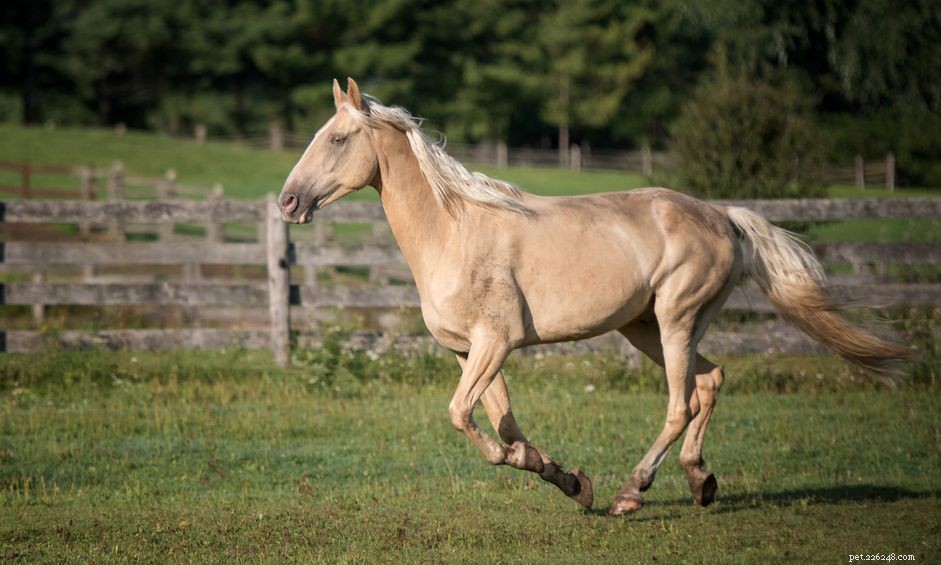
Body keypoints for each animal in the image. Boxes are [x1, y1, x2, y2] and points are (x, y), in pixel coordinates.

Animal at [278, 78, 913, 515]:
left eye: (338, 138)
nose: (288, 201)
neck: (453, 231)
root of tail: (722, 216)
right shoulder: (469, 352)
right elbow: (503, 424)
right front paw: (568, 480)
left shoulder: (495, 343)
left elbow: (465, 417)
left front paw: (557, 476)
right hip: (644, 327)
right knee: (710, 381)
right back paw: (699, 482)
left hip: (676, 318)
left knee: (681, 402)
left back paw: (633, 493)